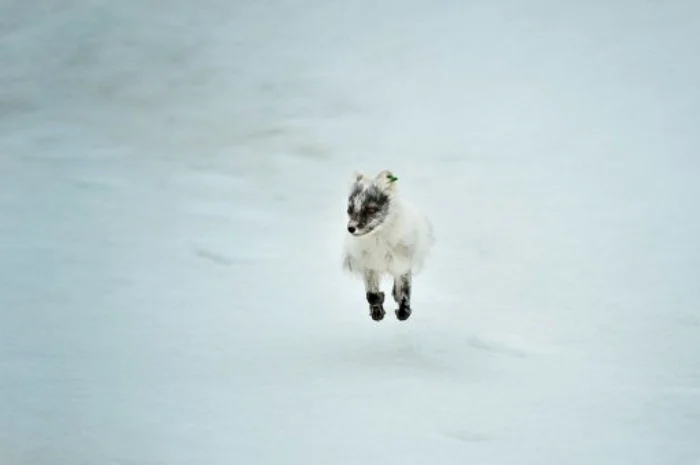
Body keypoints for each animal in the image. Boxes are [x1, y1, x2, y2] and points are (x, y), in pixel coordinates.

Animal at [344, 169, 434, 320]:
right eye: (349, 210)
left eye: (370, 210)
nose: (351, 228)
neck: (379, 242)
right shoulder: (369, 266)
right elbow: (371, 295)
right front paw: (378, 309)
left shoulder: (402, 264)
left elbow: (404, 291)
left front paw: (403, 311)